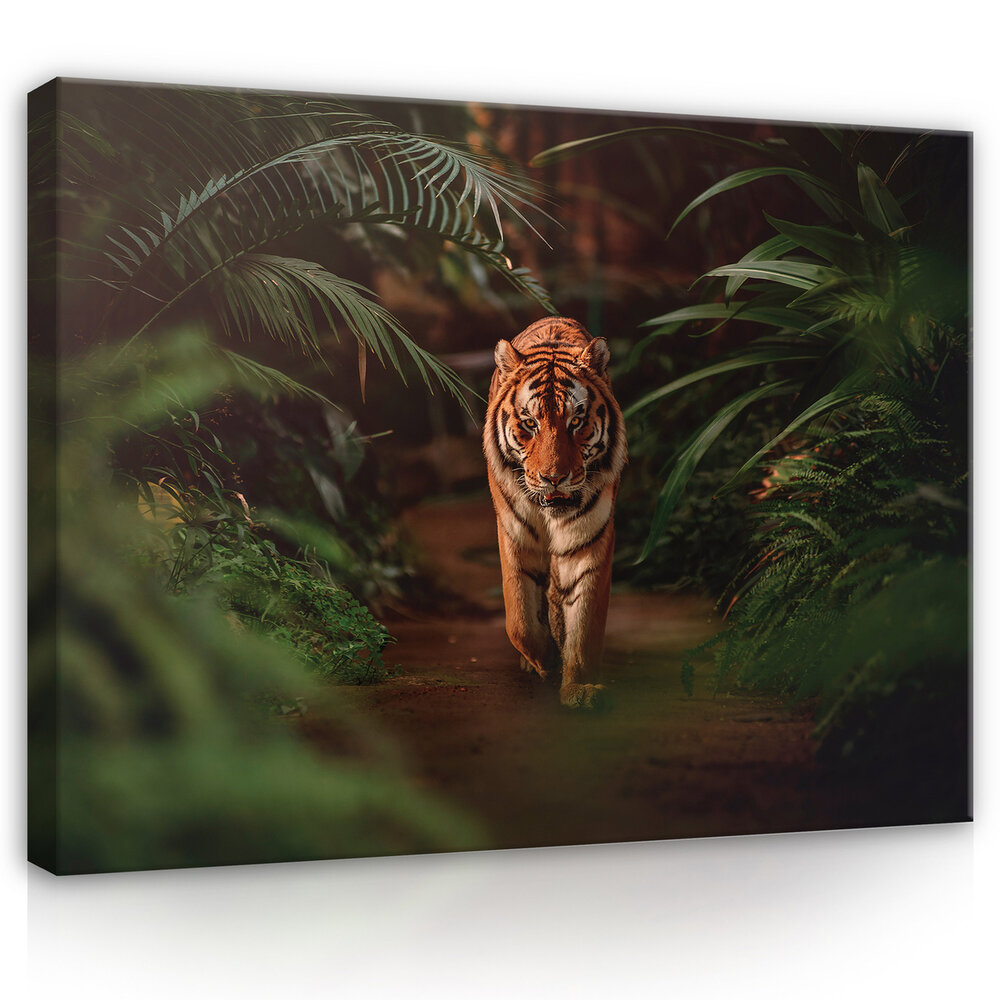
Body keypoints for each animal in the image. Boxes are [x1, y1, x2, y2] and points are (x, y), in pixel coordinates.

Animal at [483, 316, 627, 710]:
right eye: (530, 423)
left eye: (575, 422)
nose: (554, 478)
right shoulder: (515, 537)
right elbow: (519, 620)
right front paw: (544, 659)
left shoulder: (588, 542)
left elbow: (585, 626)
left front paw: (579, 687)